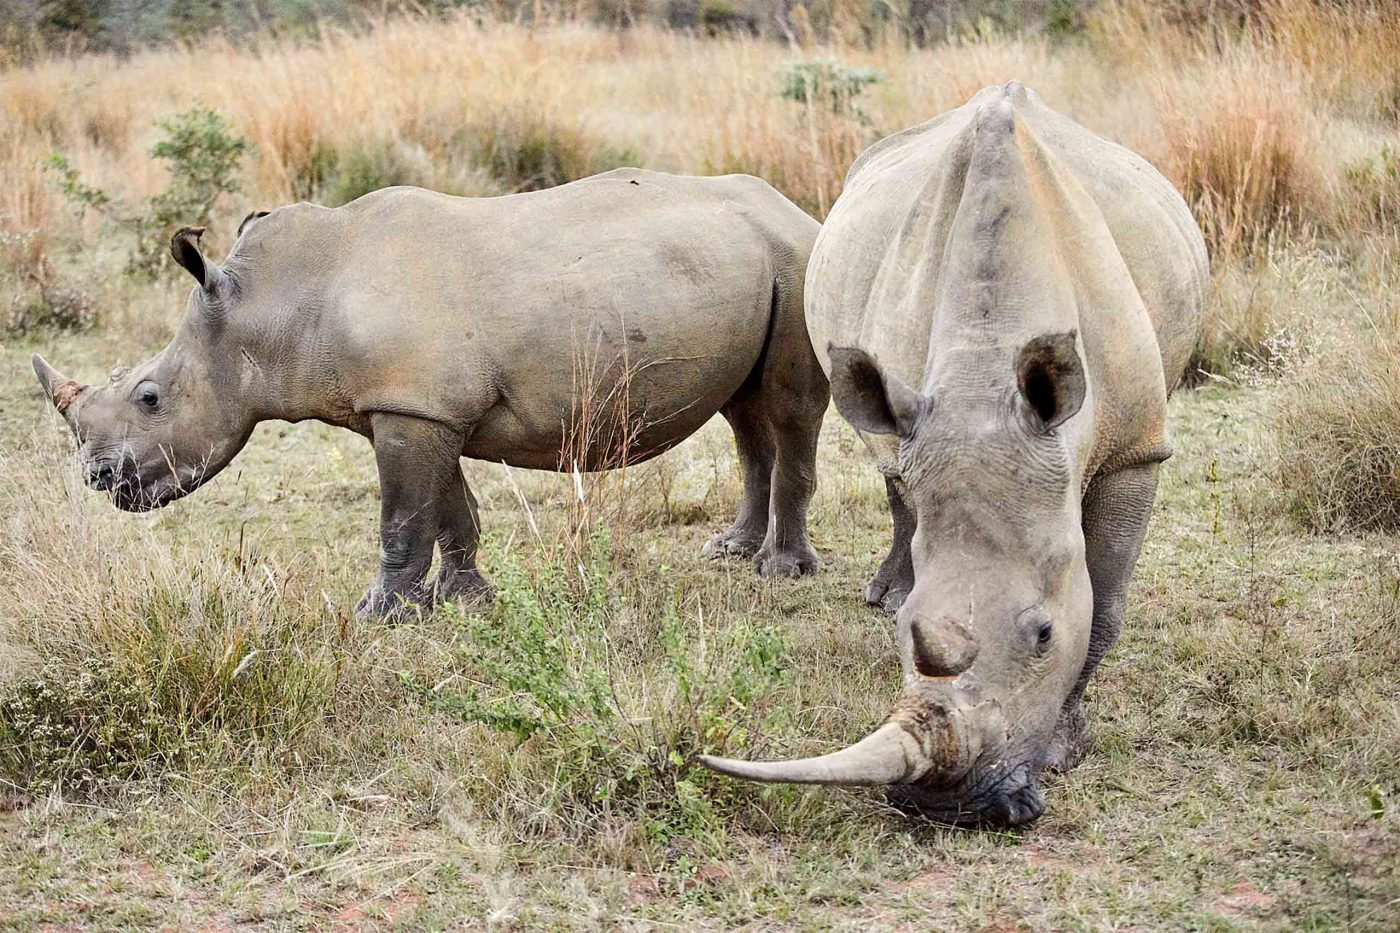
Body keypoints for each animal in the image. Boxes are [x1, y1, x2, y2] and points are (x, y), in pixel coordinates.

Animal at [33, 169, 828, 618]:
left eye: (150, 397)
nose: (99, 478)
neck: (278, 305)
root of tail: (795, 207)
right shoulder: (418, 408)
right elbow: (449, 511)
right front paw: (464, 600)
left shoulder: (412, 409)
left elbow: (402, 518)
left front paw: (379, 614)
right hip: (750, 264)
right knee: (744, 414)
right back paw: (731, 551)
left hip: (797, 258)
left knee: (787, 410)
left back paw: (781, 571)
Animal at [702, 83, 1208, 826]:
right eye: (906, 633)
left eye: (1044, 634)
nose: (952, 807)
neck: (985, 377)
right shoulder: (923, 410)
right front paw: (896, 603)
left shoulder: (1135, 450)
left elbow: (1105, 605)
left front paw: (1065, 747)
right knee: (893, 471)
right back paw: (884, 585)